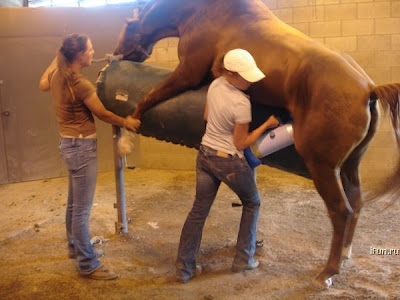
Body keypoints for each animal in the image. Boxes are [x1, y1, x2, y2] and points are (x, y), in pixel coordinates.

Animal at [113, 0, 400, 288]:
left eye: (127, 25)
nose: (115, 55)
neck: (200, 12)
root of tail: (368, 89)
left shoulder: (187, 73)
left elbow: (151, 95)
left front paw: (131, 124)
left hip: (324, 168)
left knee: (341, 211)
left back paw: (328, 272)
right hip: (350, 166)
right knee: (356, 203)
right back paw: (345, 255)